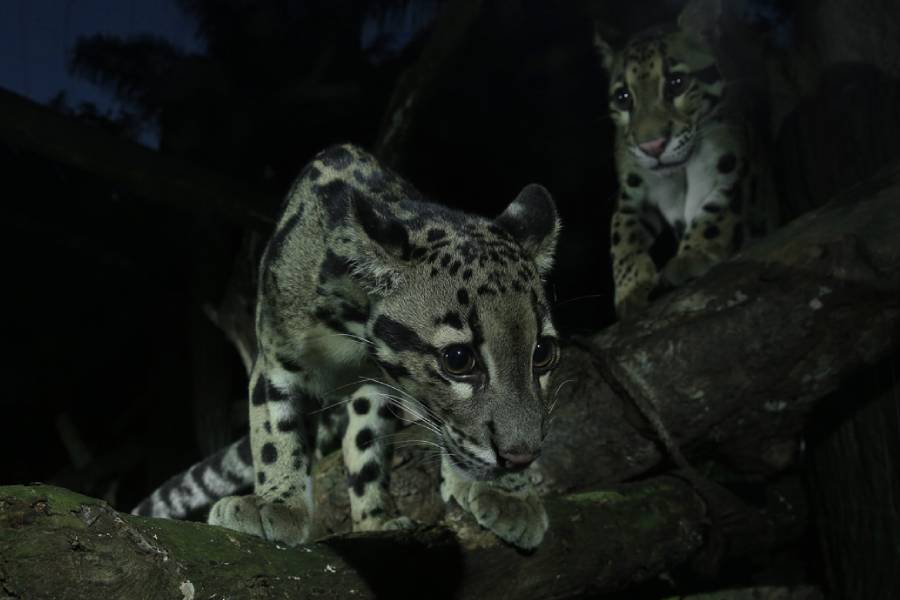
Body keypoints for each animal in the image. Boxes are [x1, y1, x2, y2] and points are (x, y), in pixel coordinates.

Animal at [132, 143, 561, 550]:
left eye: (543, 353)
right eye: (458, 359)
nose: (521, 456)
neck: (355, 339)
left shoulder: (377, 390)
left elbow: (370, 450)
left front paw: (504, 494)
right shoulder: (274, 357)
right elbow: (274, 430)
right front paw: (276, 503)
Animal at [594, 0, 779, 318]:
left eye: (676, 83)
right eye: (623, 97)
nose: (652, 146)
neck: (679, 174)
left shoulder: (735, 166)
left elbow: (718, 211)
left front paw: (692, 257)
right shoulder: (631, 193)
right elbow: (622, 234)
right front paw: (631, 288)